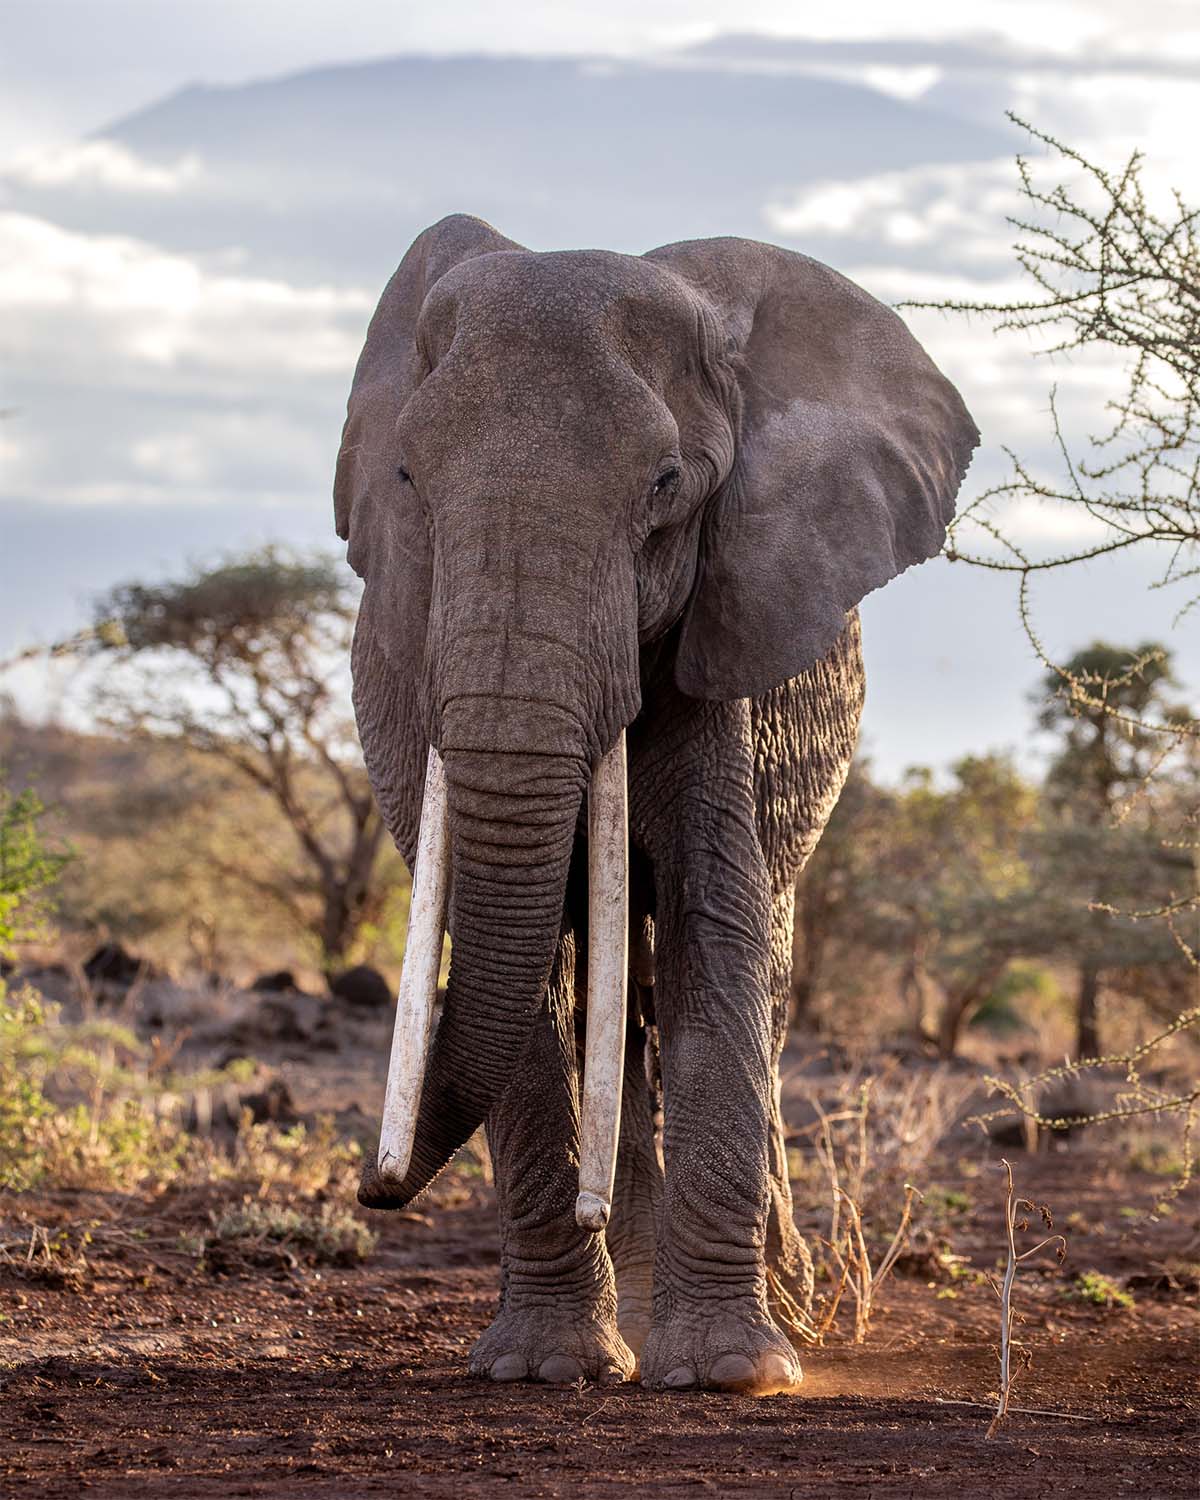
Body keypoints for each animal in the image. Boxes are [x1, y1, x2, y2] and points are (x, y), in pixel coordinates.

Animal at [330, 211, 972, 1392]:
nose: (373, 1188)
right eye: (405, 476)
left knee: (749, 973)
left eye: (668, 484)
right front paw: (542, 1370)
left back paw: (785, 1314)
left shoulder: (726, 638)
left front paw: (730, 1374)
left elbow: (714, 923)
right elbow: (526, 975)